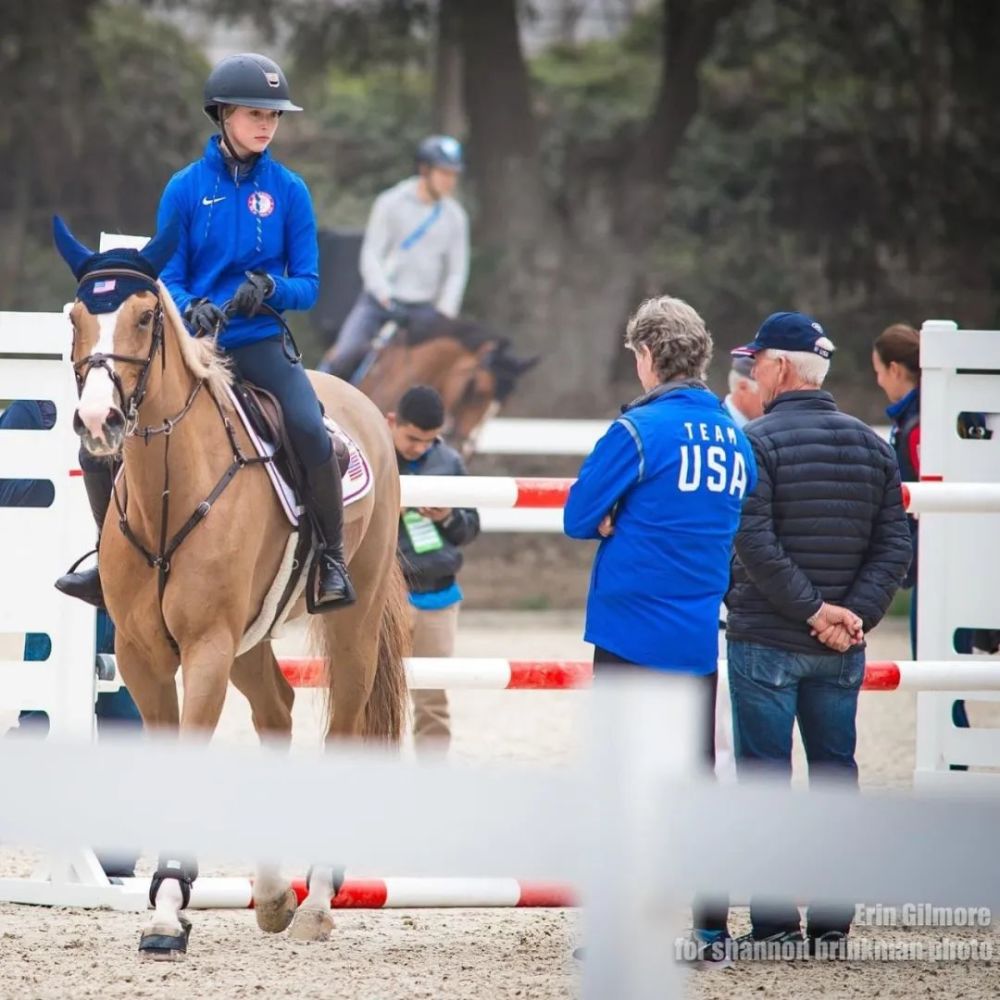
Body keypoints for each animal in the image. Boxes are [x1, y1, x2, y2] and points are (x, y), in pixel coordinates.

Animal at [52, 217, 406, 952]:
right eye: (75, 316)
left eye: (146, 316)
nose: (98, 422)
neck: (169, 485)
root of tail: (359, 399)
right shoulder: (142, 655)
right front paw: (171, 901)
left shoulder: (207, 647)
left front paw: (167, 907)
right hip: (251, 639)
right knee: (275, 712)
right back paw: (272, 895)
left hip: (349, 629)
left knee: (344, 727)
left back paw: (317, 900)